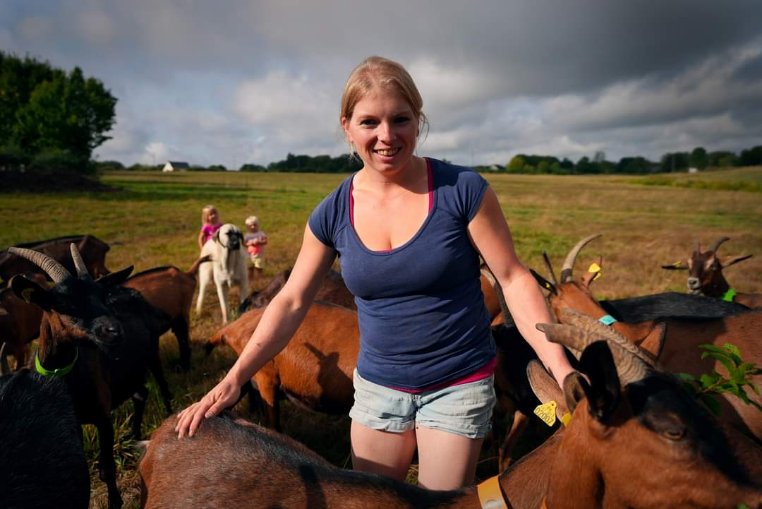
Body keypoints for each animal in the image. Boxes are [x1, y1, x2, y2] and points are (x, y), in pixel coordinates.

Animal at [8, 244, 174, 506]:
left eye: (101, 296)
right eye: (63, 302)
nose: (114, 331)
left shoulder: (102, 415)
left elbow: (106, 469)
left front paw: (115, 502)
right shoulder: (72, 423)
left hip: (152, 352)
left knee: (162, 388)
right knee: (141, 393)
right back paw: (134, 434)